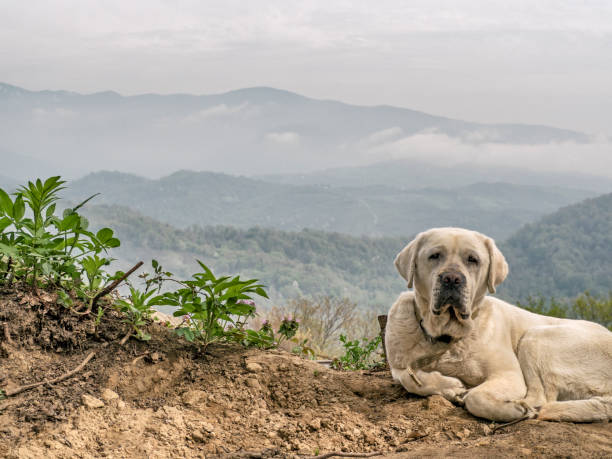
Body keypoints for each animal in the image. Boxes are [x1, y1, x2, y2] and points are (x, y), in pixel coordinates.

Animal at [388, 228, 612, 422]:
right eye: (434, 256)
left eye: (473, 259)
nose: (452, 278)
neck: (448, 335)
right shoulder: (398, 363)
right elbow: (408, 378)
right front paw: (451, 386)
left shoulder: (508, 374)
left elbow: (476, 398)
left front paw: (509, 408)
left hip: (535, 338)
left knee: (540, 397)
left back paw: (522, 406)